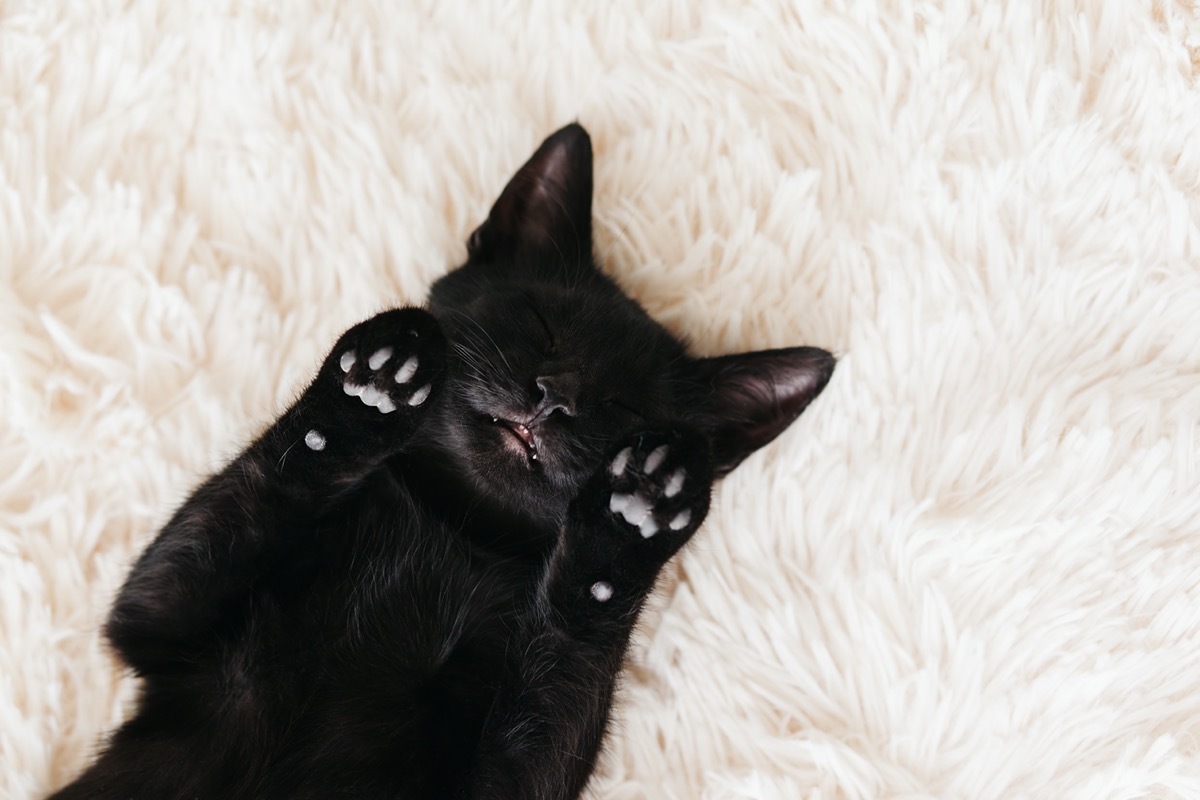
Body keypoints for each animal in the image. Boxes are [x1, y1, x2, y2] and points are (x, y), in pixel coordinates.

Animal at [51, 125, 830, 800]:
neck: (456, 528)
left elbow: (574, 653)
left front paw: (634, 515)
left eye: (626, 409)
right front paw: (373, 387)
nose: (557, 397)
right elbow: (254, 489)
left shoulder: (507, 783)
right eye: (541, 324)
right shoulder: (165, 634)